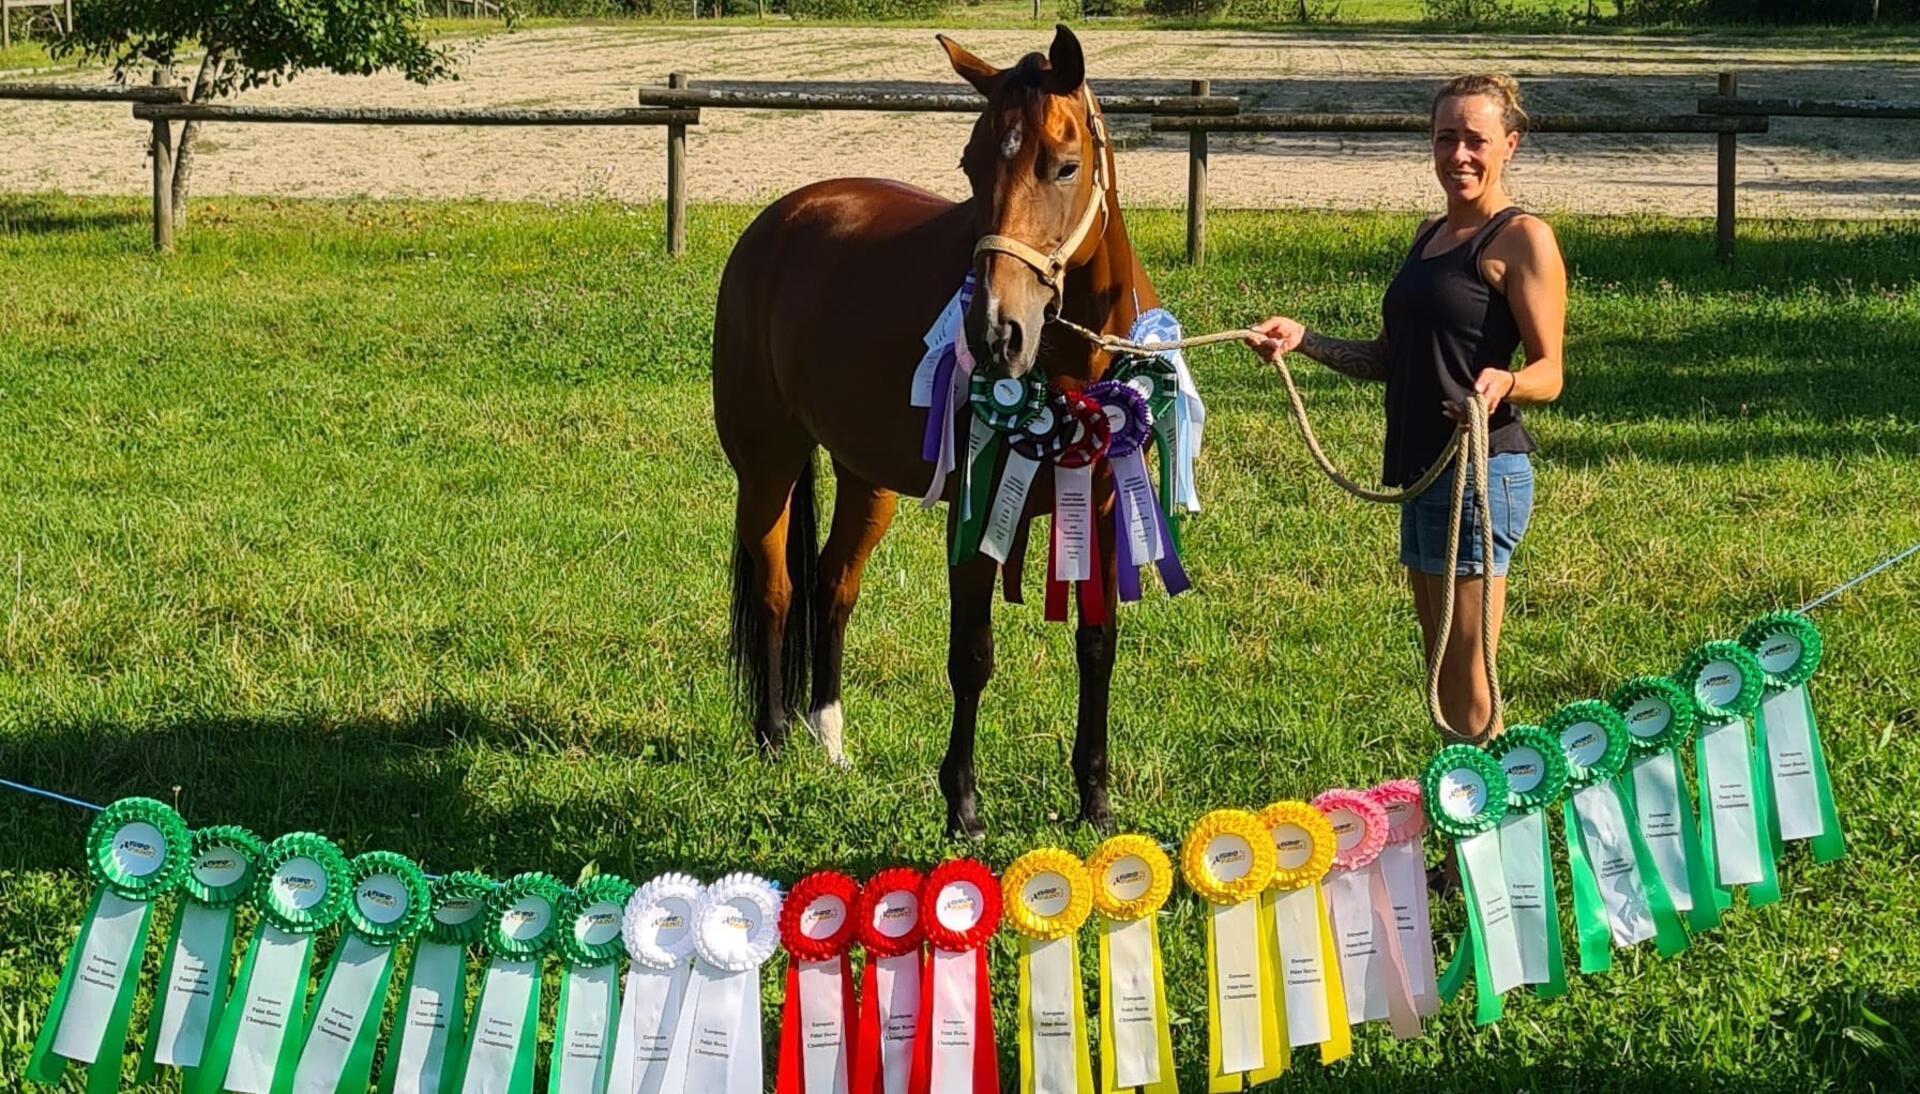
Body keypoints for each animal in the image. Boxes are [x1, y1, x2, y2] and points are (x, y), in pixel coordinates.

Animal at [714, 25, 1159, 829]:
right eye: (971, 165)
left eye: (1065, 165)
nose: (994, 333)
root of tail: (780, 219)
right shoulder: (976, 513)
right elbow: (972, 656)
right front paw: (963, 805)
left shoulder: (1104, 502)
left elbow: (1097, 645)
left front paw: (1095, 804)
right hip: (766, 468)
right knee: (776, 591)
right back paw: (772, 739)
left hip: (868, 479)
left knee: (833, 585)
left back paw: (830, 740)